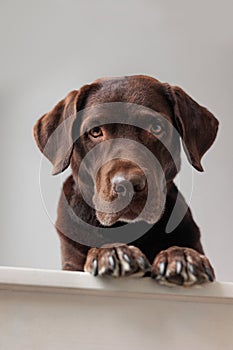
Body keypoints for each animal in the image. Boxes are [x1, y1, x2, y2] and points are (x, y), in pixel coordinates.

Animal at [33, 75, 218, 286]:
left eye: (156, 127)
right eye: (95, 131)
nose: (127, 185)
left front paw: (182, 255)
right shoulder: (71, 266)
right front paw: (113, 251)